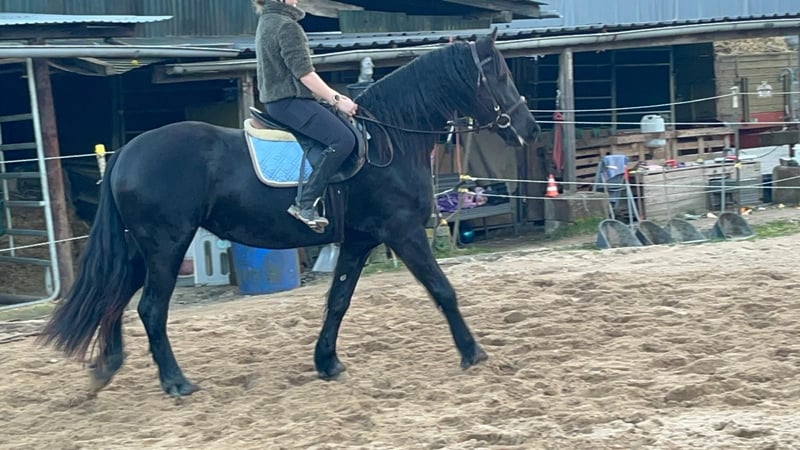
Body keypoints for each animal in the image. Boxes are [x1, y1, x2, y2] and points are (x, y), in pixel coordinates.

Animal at [38, 31, 540, 397]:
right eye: (500, 77)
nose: (530, 129)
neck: (389, 138)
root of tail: (128, 151)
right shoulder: (402, 232)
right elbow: (443, 290)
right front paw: (472, 353)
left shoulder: (359, 239)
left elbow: (338, 301)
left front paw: (327, 362)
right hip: (165, 245)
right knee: (149, 308)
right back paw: (175, 382)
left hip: (141, 248)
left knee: (114, 297)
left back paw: (107, 367)